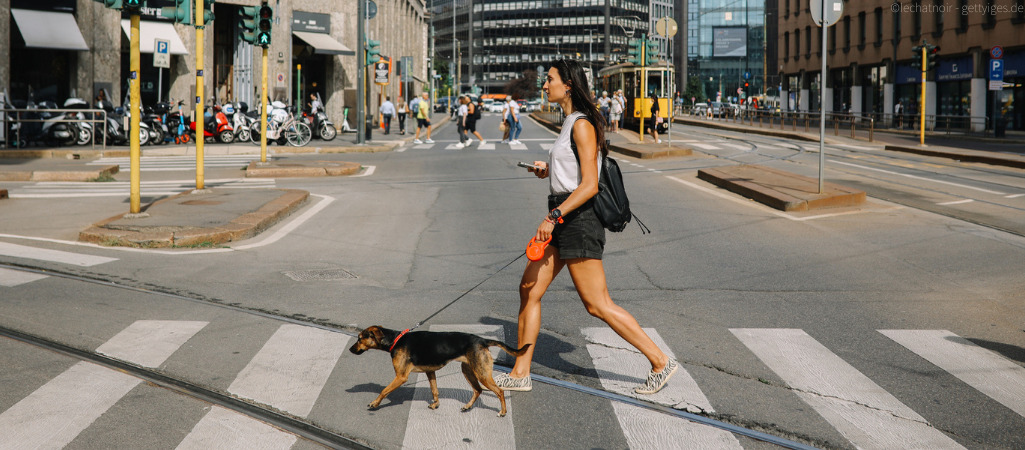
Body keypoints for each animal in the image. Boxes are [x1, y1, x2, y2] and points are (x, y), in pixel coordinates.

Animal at [350, 325, 533, 418]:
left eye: (359, 339)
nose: (351, 350)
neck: (395, 340)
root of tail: (483, 340)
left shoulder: (401, 377)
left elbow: (384, 391)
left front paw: (375, 403)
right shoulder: (430, 372)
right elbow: (434, 390)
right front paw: (436, 404)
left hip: (482, 373)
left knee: (500, 391)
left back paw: (503, 412)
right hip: (469, 371)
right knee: (478, 390)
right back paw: (467, 407)